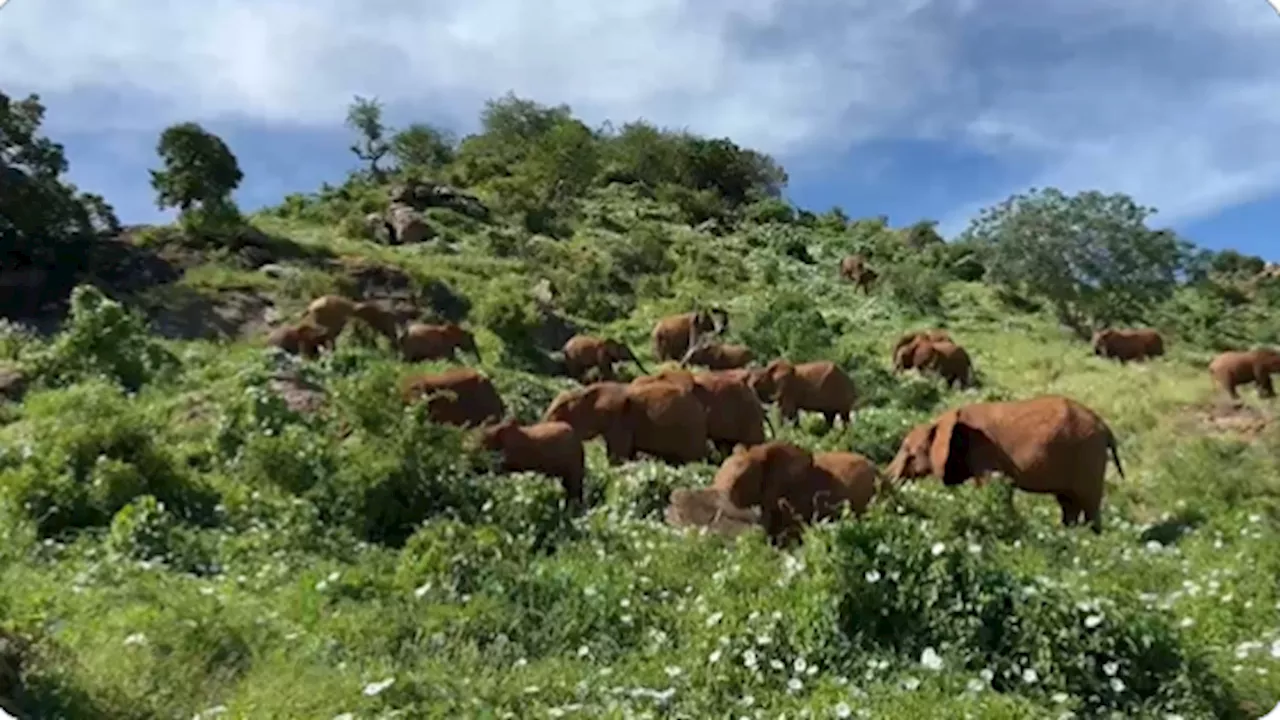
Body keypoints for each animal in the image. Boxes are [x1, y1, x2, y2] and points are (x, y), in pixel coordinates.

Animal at [885, 394, 1126, 530]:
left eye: (908, 450)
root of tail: (1106, 429)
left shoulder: (983, 451)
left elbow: (993, 485)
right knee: (1069, 503)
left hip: (1088, 455)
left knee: (1088, 503)